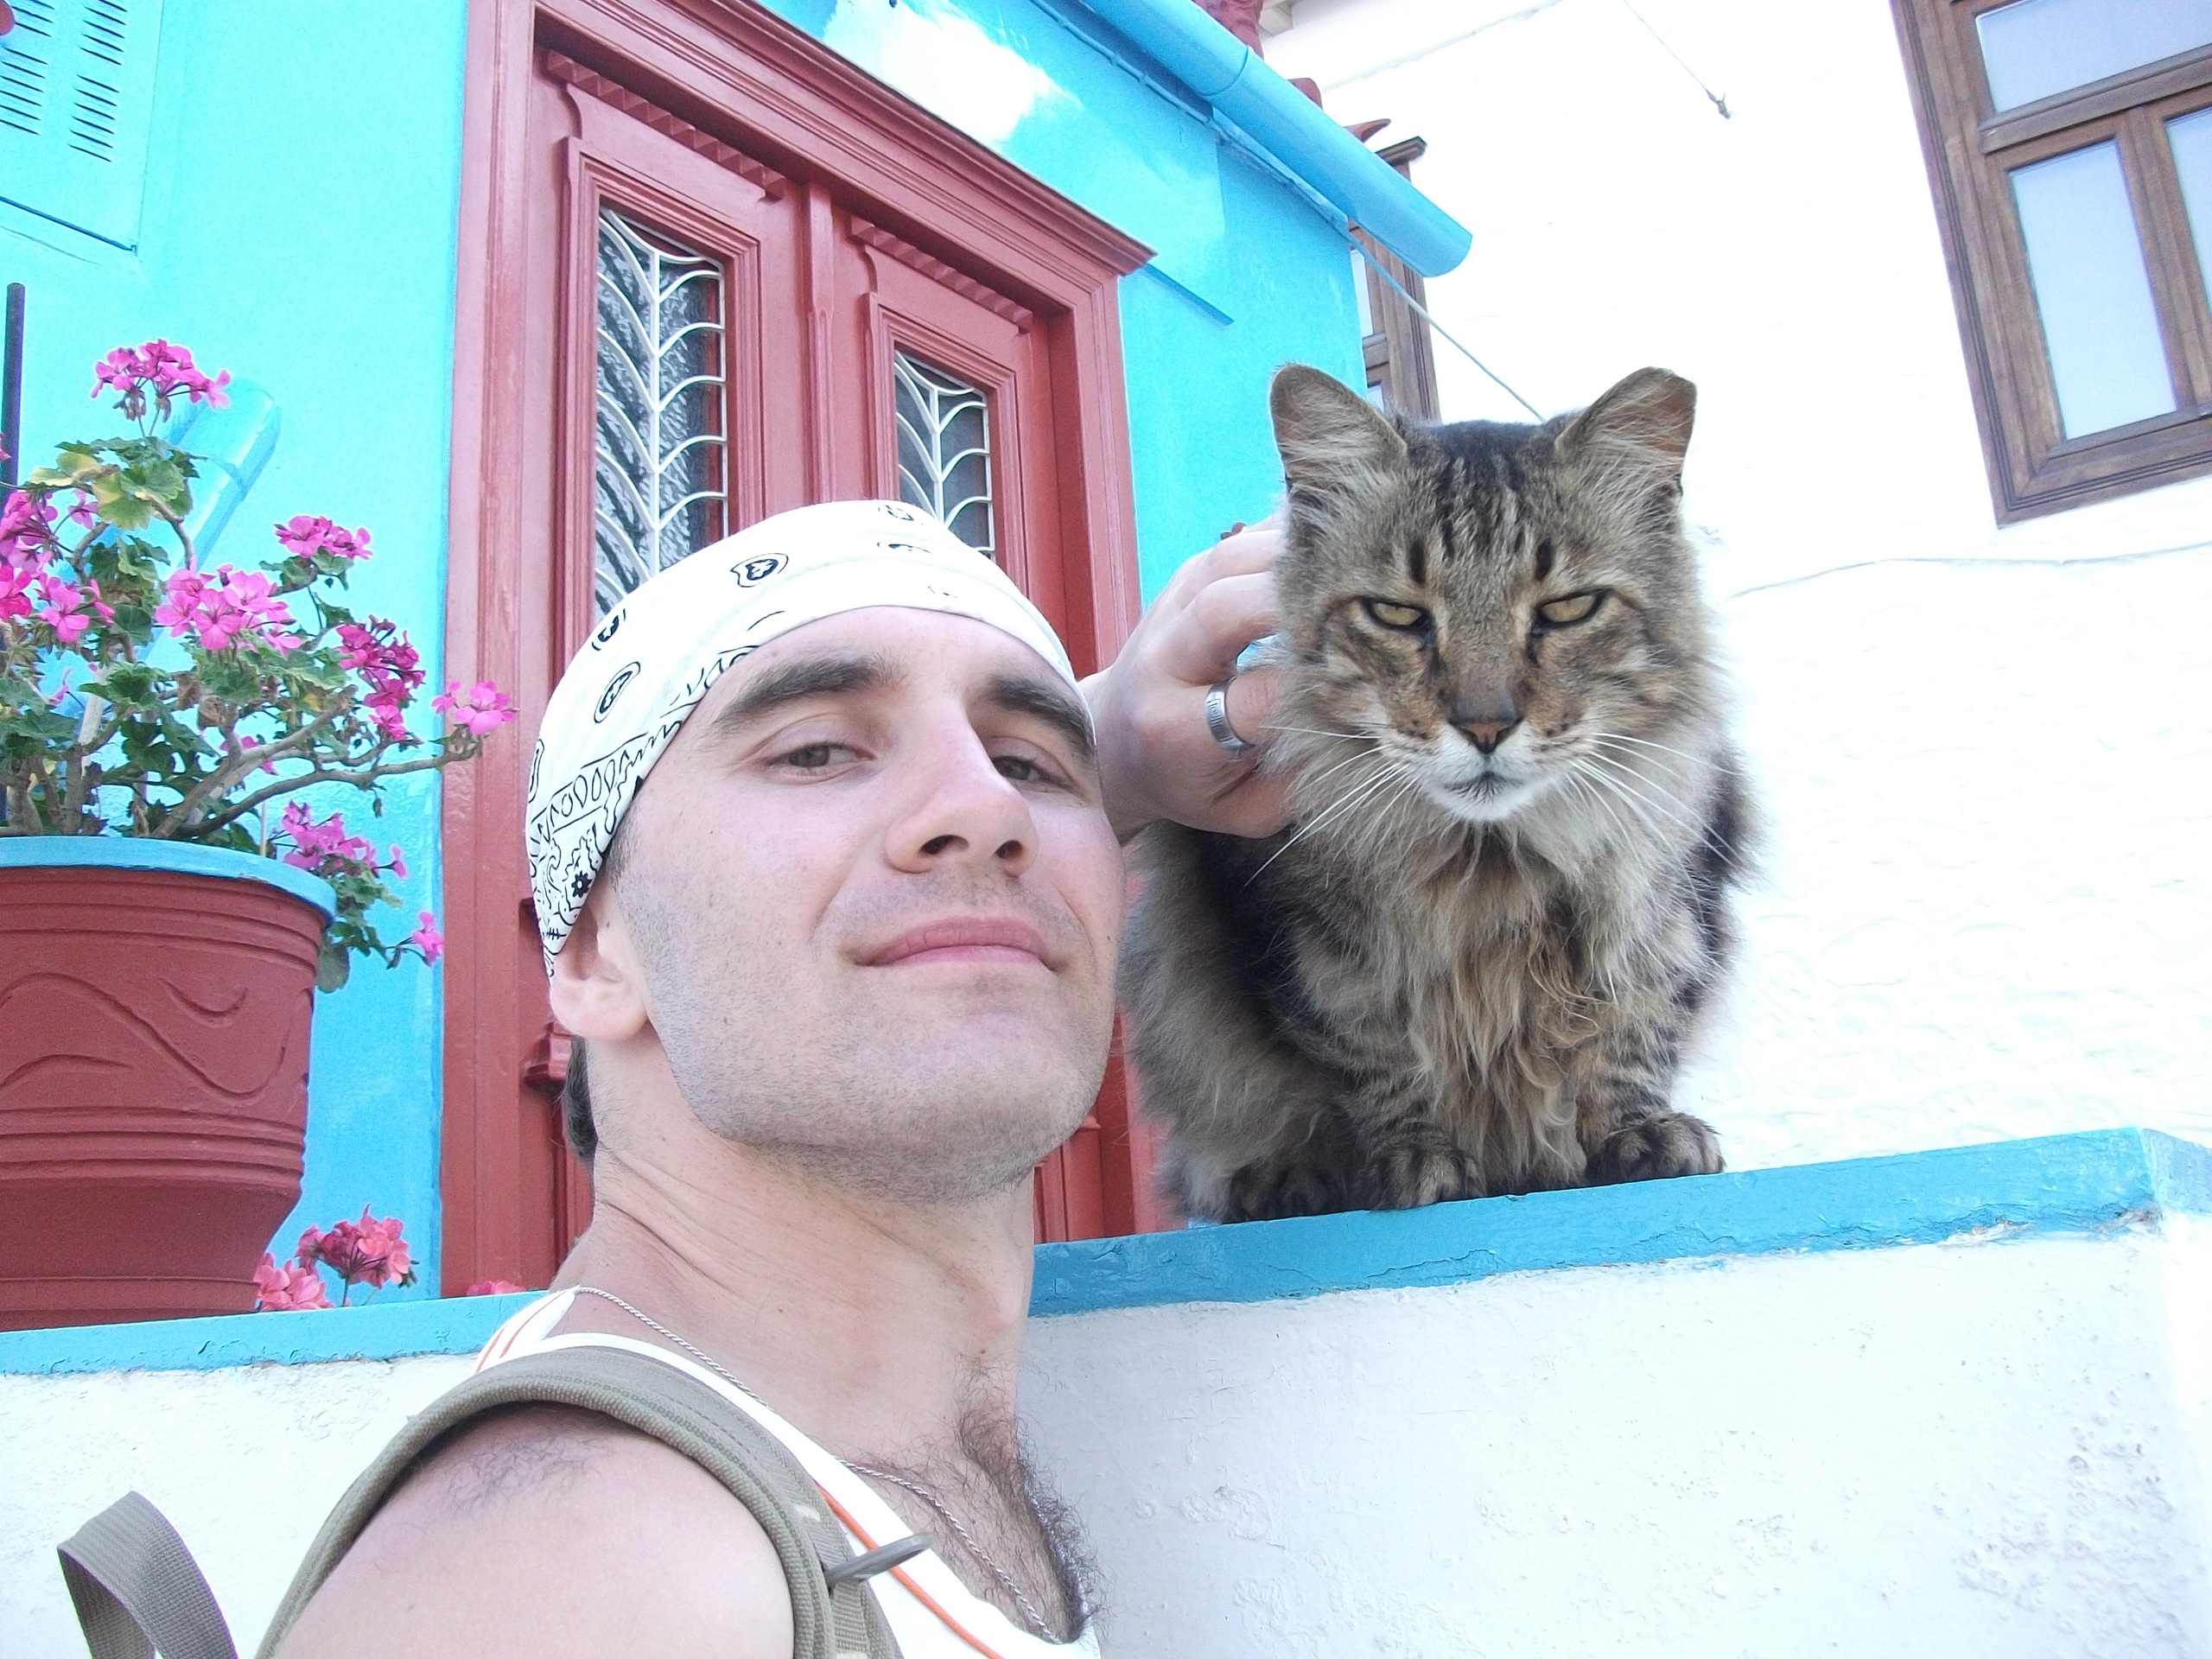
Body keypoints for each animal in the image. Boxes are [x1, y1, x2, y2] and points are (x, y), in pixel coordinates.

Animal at [1120, 364, 1750, 1223]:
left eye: (1567, 609)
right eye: (1397, 614)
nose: (1485, 726)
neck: (1488, 859)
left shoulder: (1662, 908)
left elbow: (1634, 1032)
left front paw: (1640, 1135)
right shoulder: (1304, 941)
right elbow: (1373, 1057)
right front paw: (1416, 1159)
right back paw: (1284, 1181)